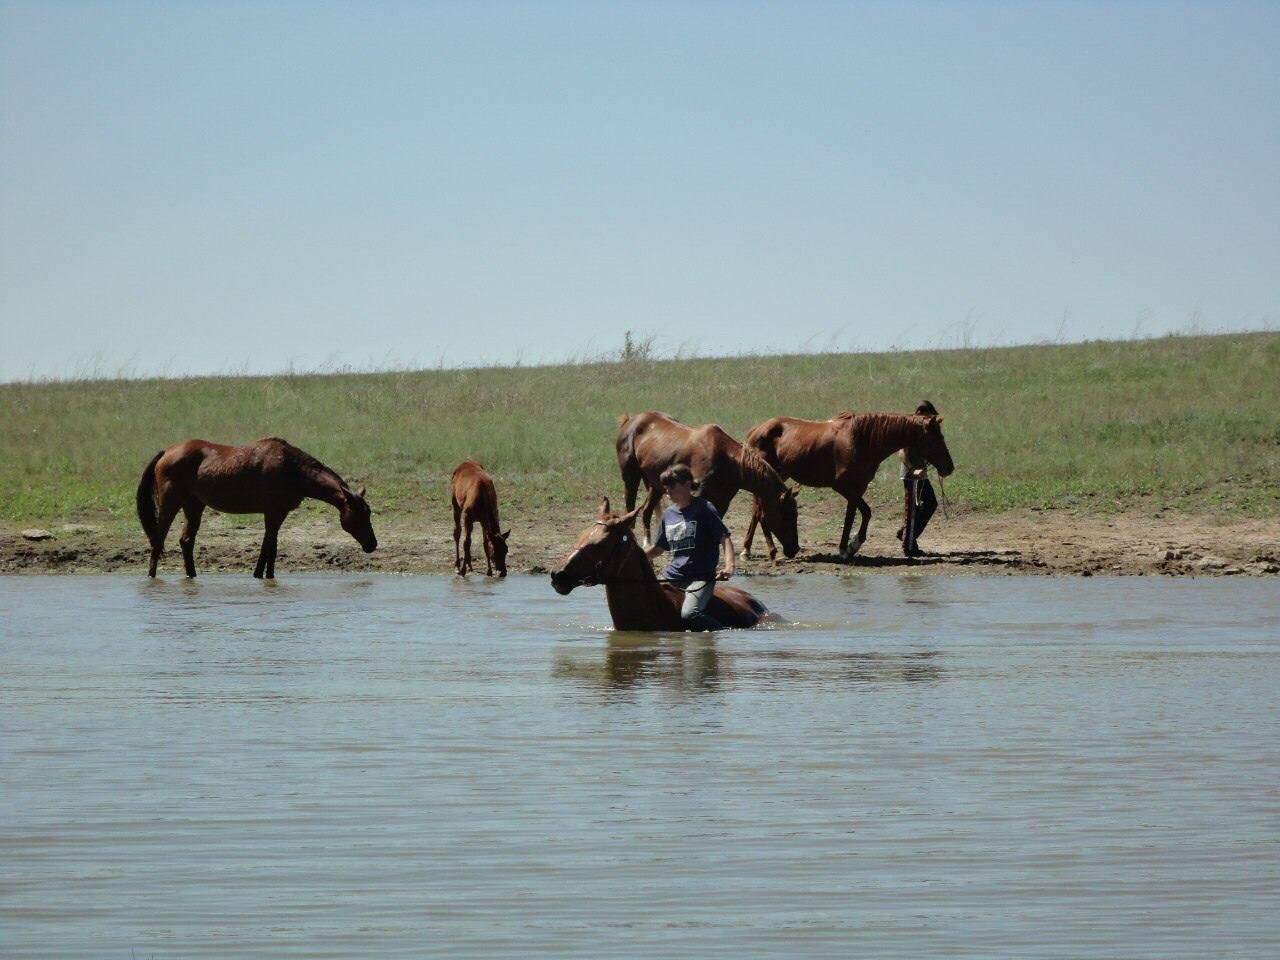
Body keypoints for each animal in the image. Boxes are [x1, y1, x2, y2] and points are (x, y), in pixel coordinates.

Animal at [135, 437, 377, 579]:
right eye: (359, 515)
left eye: (369, 512)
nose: (372, 544)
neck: (293, 469)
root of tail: (166, 452)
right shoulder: (272, 512)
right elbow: (268, 546)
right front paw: (260, 575)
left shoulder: (279, 513)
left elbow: (271, 546)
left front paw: (267, 576)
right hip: (170, 504)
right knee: (158, 540)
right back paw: (152, 577)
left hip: (194, 506)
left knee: (186, 541)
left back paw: (192, 576)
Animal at [615, 411, 800, 560]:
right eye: (786, 515)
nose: (794, 549)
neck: (727, 460)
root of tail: (630, 421)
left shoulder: (722, 502)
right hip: (631, 477)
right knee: (630, 507)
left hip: (656, 485)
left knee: (646, 511)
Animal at [741, 412, 954, 560]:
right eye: (936, 439)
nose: (949, 467)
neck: (862, 440)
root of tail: (755, 430)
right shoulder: (843, 487)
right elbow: (865, 512)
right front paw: (852, 545)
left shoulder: (858, 488)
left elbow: (853, 516)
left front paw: (847, 547)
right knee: (758, 512)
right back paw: (747, 551)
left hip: (778, 476)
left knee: (756, 512)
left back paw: (748, 550)